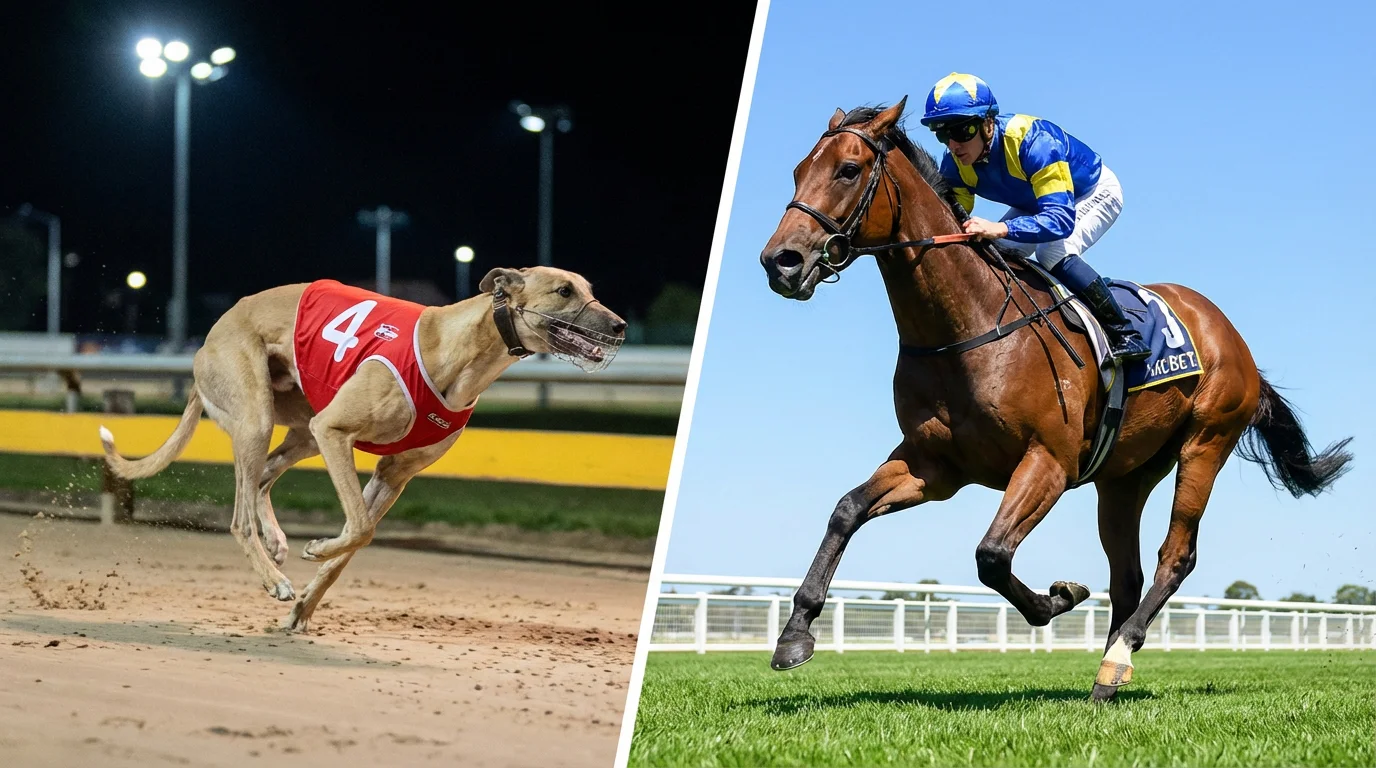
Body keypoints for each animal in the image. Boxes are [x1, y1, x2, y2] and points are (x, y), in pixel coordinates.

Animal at [756, 96, 1354, 701]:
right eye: (798, 172)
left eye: (848, 170)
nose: (780, 261)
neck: (968, 328)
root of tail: (1229, 333)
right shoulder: (934, 466)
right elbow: (846, 510)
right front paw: (795, 634)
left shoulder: (1048, 461)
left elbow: (992, 556)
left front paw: (1060, 597)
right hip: (1125, 477)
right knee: (1127, 573)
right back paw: (1111, 673)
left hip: (1205, 442)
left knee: (1175, 555)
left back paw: (1117, 656)